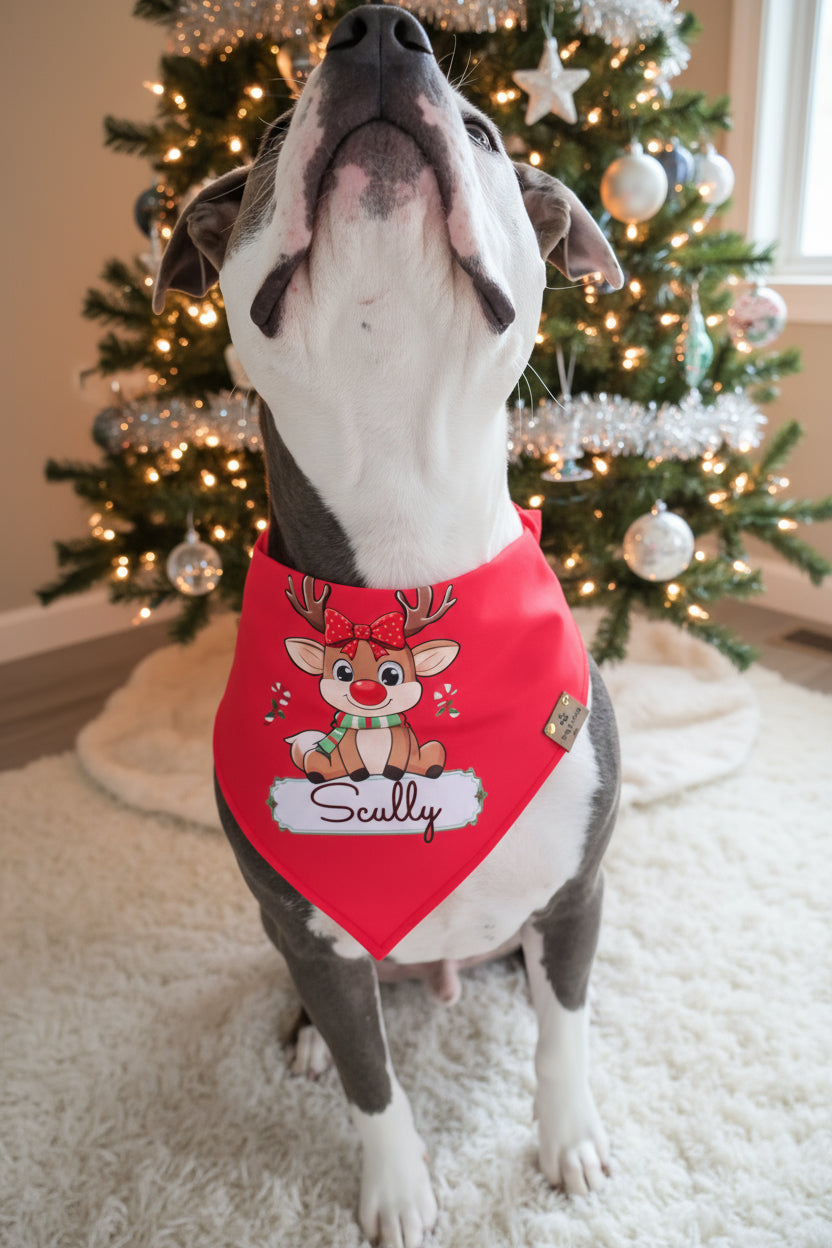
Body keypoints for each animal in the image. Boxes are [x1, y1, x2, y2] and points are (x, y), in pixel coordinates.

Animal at [283, 574, 459, 784]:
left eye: (391, 675)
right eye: (343, 672)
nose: (365, 690)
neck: (370, 723)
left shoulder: (402, 737)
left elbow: (400, 756)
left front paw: (393, 772)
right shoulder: (347, 743)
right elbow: (351, 758)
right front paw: (359, 775)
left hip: (430, 749)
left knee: (435, 751)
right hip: (322, 759)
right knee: (312, 760)